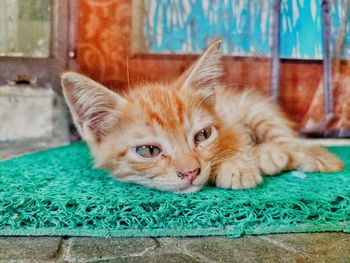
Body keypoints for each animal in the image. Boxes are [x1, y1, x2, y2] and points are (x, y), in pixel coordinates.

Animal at [61, 41, 344, 194]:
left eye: (203, 135)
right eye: (148, 151)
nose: (191, 172)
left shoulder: (229, 119)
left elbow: (237, 140)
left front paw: (236, 166)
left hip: (255, 109)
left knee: (292, 143)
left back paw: (279, 155)